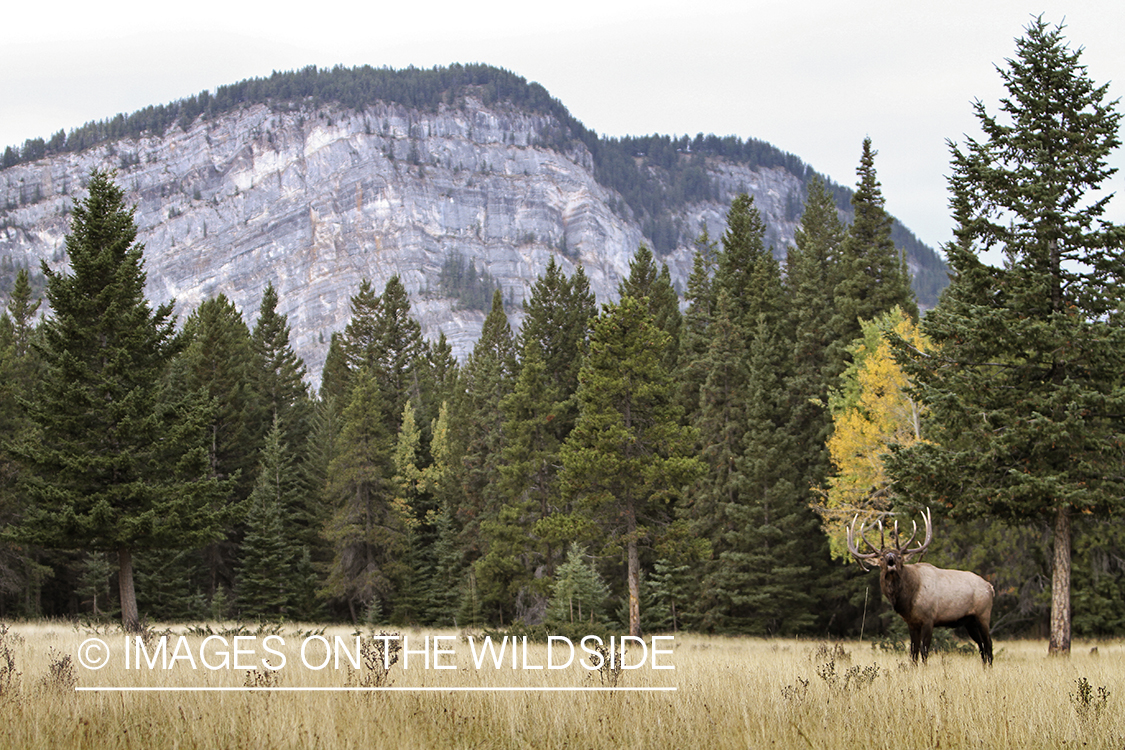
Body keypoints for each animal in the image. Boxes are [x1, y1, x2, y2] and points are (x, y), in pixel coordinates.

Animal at [846, 508, 999, 665]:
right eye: (881, 558)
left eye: (899, 556)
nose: (890, 559)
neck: (908, 599)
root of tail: (990, 587)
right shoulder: (912, 623)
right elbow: (913, 653)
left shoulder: (929, 618)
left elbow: (924, 651)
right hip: (969, 621)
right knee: (981, 646)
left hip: (983, 614)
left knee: (988, 644)